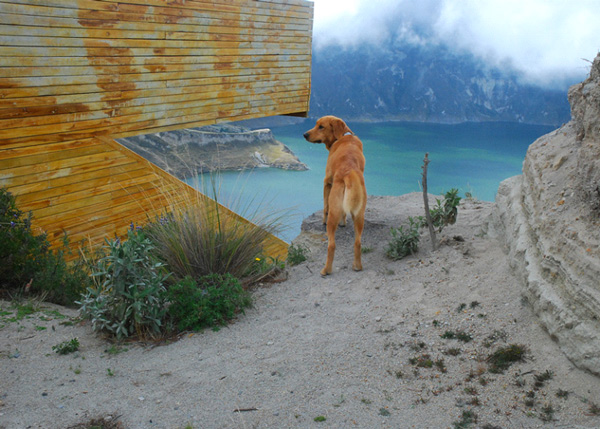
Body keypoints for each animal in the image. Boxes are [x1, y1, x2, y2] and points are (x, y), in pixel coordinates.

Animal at [304, 114, 366, 274]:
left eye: (321, 126)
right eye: (316, 124)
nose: (305, 134)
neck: (343, 136)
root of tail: (349, 172)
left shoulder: (327, 182)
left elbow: (325, 207)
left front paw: (322, 220)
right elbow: (344, 213)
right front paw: (343, 223)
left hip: (334, 213)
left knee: (331, 245)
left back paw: (326, 270)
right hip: (359, 215)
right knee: (358, 242)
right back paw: (357, 266)